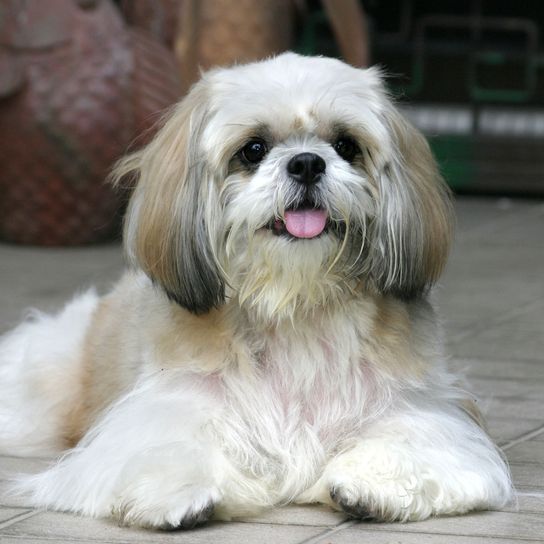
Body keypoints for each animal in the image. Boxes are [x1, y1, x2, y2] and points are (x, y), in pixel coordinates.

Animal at [0, 53, 510, 528]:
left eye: (345, 145)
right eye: (253, 149)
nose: (307, 162)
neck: (294, 303)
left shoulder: (418, 409)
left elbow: (407, 441)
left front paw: (372, 484)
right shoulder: (163, 411)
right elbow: (167, 445)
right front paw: (178, 493)